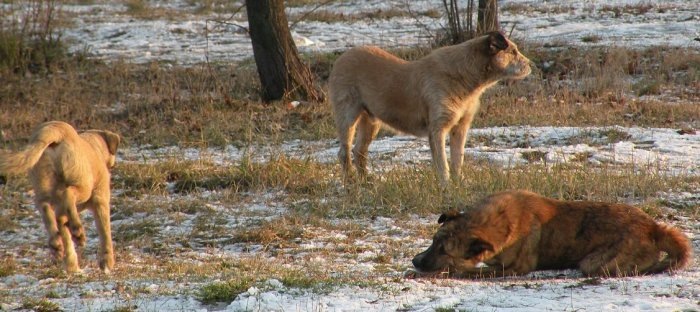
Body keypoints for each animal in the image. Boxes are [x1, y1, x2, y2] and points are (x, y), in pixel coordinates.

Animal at [0, 120, 120, 272]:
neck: (95, 146)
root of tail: (58, 131)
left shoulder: (61, 212)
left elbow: (65, 235)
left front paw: (71, 265)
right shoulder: (101, 200)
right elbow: (105, 233)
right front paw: (107, 262)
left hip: (42, 186)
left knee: (45, 208)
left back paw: (56, 243)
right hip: (83, 185)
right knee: (68, 194)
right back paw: (77, 231)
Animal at [328, 31, 532, 183]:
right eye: (513, 51)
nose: (531, 64)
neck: (464, 77)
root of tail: (342, 57)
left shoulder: (460, 128)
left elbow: (457, 159)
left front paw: (458, 184)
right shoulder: (437, 128)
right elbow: (443, 164)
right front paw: (446, 187)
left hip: (371, 121)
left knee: (359, 151)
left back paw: (366, 182)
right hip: (348, 116)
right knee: (344, 152)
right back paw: (351, 183)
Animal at [412, 190, 692, 278]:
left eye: (444, 250)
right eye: (433, 241)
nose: (415, 261)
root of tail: (654, 227)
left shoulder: (515, 269)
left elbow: (468, 271)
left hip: (595, 262)